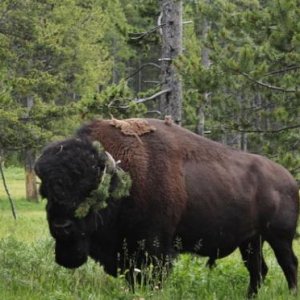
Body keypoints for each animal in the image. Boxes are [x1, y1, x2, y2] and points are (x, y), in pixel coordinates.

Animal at [34, 117, 298, 296]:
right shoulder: (128, 254)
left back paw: (291, 293)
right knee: (258, 269)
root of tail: (289, 180)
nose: (61, 226)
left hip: (279, 237)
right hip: (251, 240)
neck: (124, 175)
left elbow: (153, 278)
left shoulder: (155, 249)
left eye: (91, 192)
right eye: (45, 193)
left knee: (288, 264)